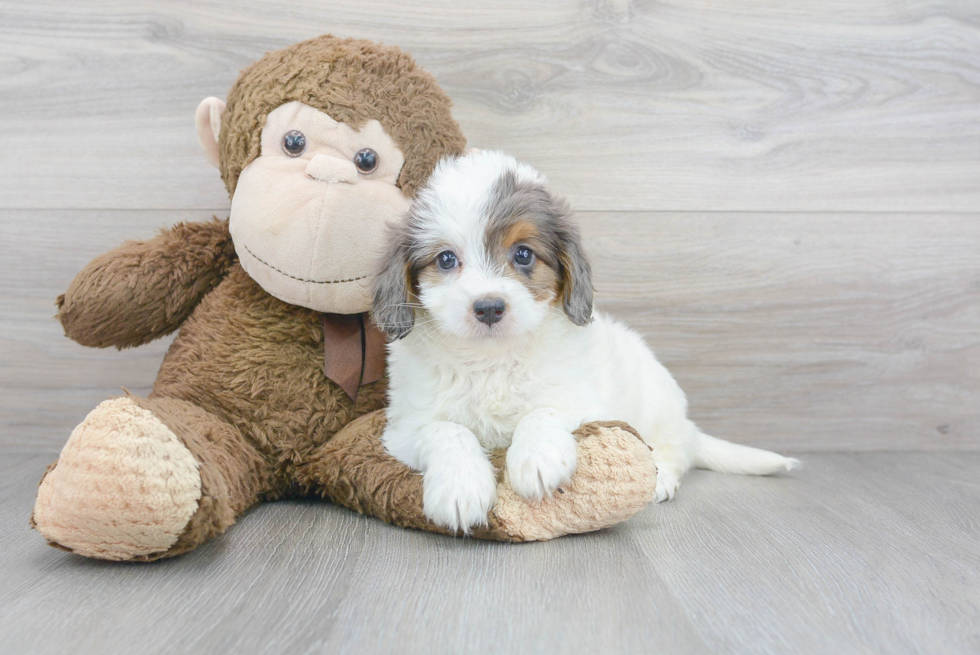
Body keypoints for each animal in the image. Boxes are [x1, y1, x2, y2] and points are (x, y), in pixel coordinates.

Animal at [370, 152, 796, 532]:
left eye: (523, 254)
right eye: (445, 260)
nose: (489, 307)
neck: (493, 358)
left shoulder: (587, 401)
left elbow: (543, 411)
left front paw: (536, 458)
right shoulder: (404, 427)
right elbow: (446, 430)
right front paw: (460, 485)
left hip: (660, 407)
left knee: (673, 452)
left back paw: (660, 477)